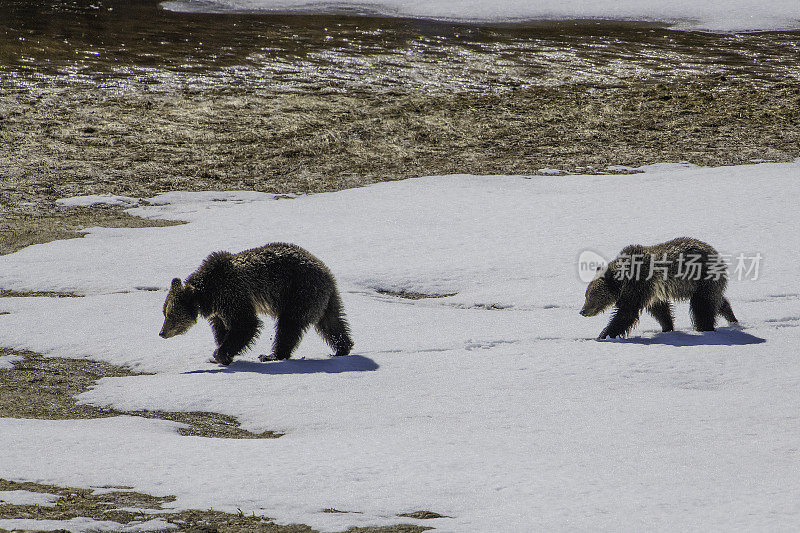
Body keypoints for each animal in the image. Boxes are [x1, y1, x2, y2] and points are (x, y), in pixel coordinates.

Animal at [159, 242, 354, 364]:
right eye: (164, 312)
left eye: (171, 315)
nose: (161, 333)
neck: (207, 294)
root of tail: (327, 273)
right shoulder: (219, 310)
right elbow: (222, 329)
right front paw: (221, 352)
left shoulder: (232, 293)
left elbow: (246, 324)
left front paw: (220, 354)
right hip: (324, 299)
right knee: (332, 323)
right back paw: (342, 348)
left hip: (299, 292)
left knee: (288, 326)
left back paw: (272, 355)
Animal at [580, 236, 736, 336]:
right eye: (586, 295)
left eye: (591, 296)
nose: (582, 311)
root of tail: (717, 255)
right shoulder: (654, 292)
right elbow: (660, 310)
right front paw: (668, 327)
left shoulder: (639, 284)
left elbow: (626, 312)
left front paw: (605, 334)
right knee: (717, 301)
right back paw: (732, 319)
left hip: (703, 279)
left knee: (702, 306)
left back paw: (705, 328)